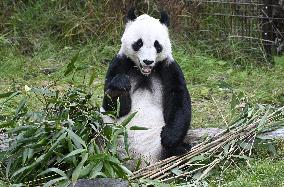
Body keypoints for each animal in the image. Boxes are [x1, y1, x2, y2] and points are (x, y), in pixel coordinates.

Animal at [101, 8, 192, 167]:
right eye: (138, 43)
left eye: (157, 45)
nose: (148, 61)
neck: (144, 73)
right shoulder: (120, 63)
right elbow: (114, 107)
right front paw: (120, 86)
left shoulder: (168, 66)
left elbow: (178, 97)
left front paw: (169, 137)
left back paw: (181, 148)